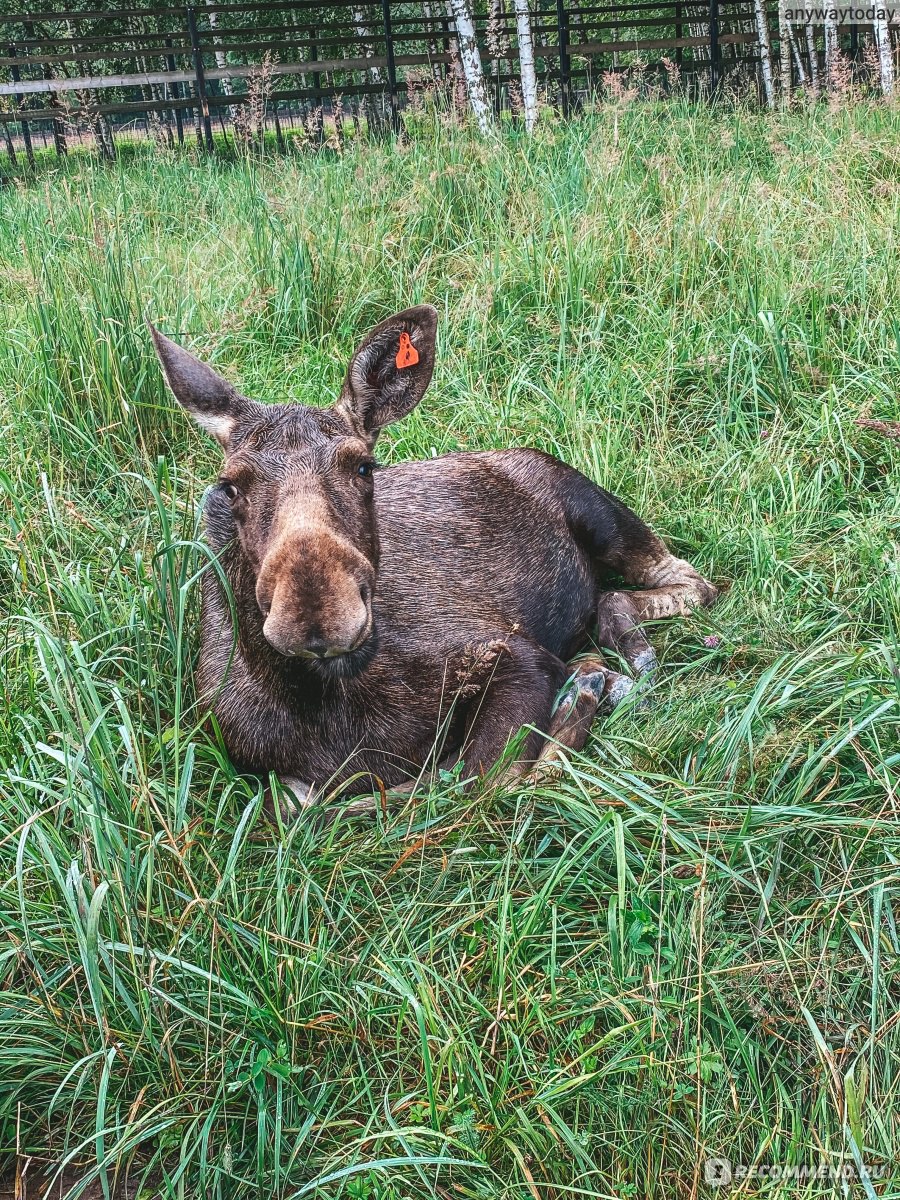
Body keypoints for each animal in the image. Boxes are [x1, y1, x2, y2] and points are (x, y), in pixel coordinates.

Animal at [153, 304, 720, 811]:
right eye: (230, 485)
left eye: (364, 466)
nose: (317, 614)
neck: (329, 707)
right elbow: (308, 803)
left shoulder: (517, 653)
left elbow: (478, 780)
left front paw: (583, 693)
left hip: (602, 515)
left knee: (689, 582)